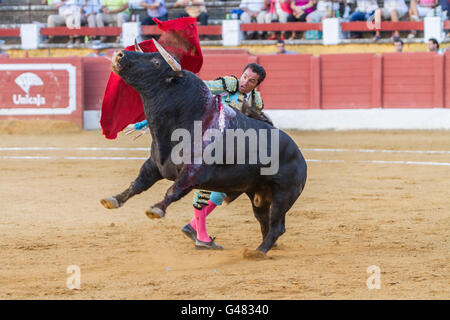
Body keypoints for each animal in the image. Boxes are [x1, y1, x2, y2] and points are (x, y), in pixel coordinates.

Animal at [100, 40, 308, 256]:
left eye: (156, 61)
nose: (120, 55)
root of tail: (300, 156)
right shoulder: (155, 164)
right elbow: (138, 184)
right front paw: (113, 199)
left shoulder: (193, 172)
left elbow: (173, 190)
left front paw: (156, 209)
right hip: (258, 196)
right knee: (263, 221)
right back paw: (262, 247)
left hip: (283, 195)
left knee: (277, 226)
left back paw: (257, 252)